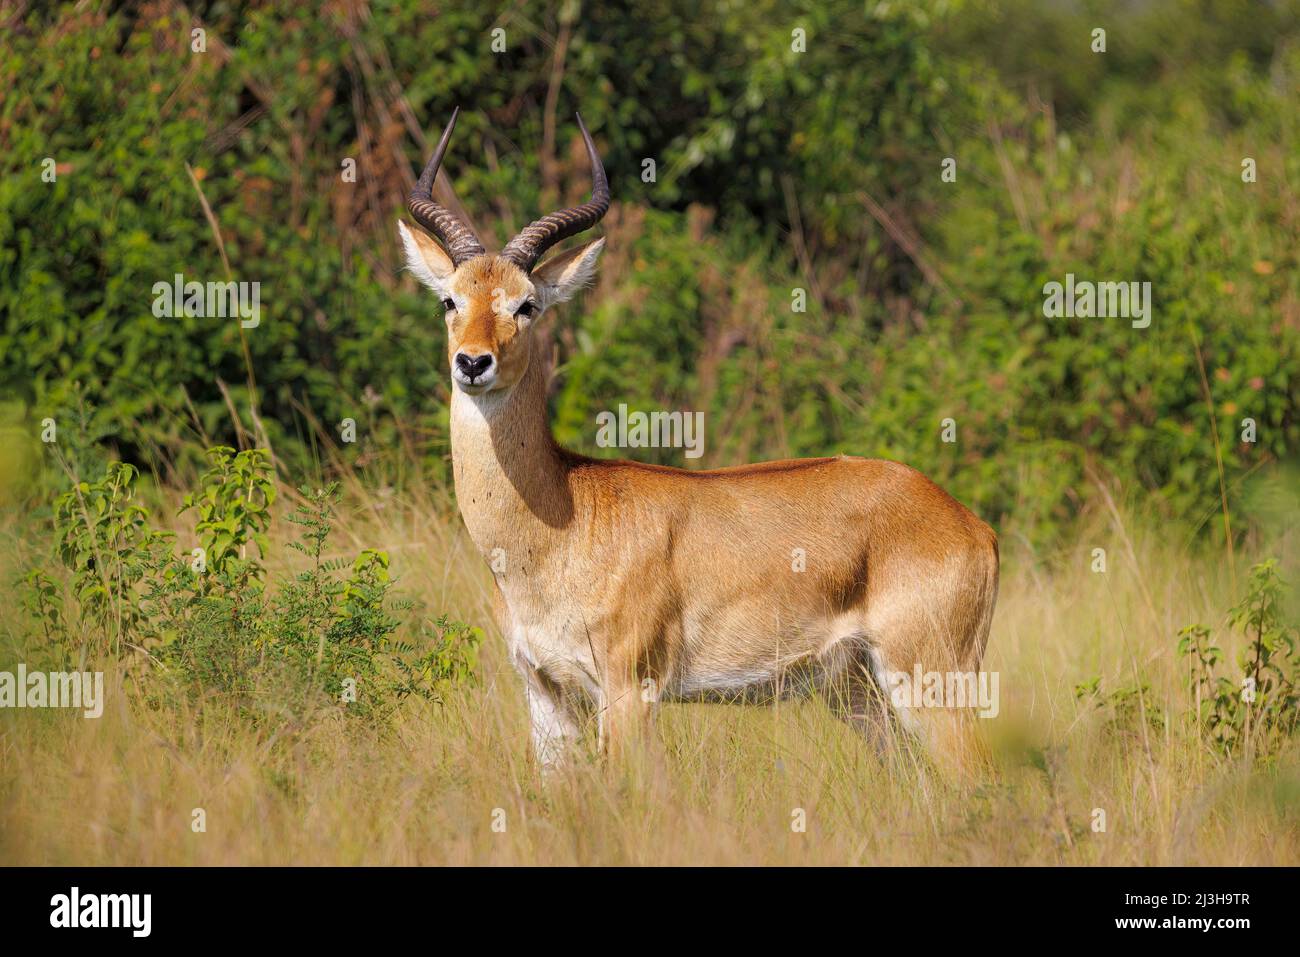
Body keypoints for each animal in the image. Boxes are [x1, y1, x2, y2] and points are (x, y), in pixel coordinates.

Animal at [400, 110, 998, 780]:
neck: (564, 515)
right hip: (860, 695)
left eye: (526, 304)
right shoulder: (545, 695)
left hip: (930, 682)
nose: (473, 362)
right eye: (450, 299)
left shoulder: (630, 691)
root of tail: (970, 523)